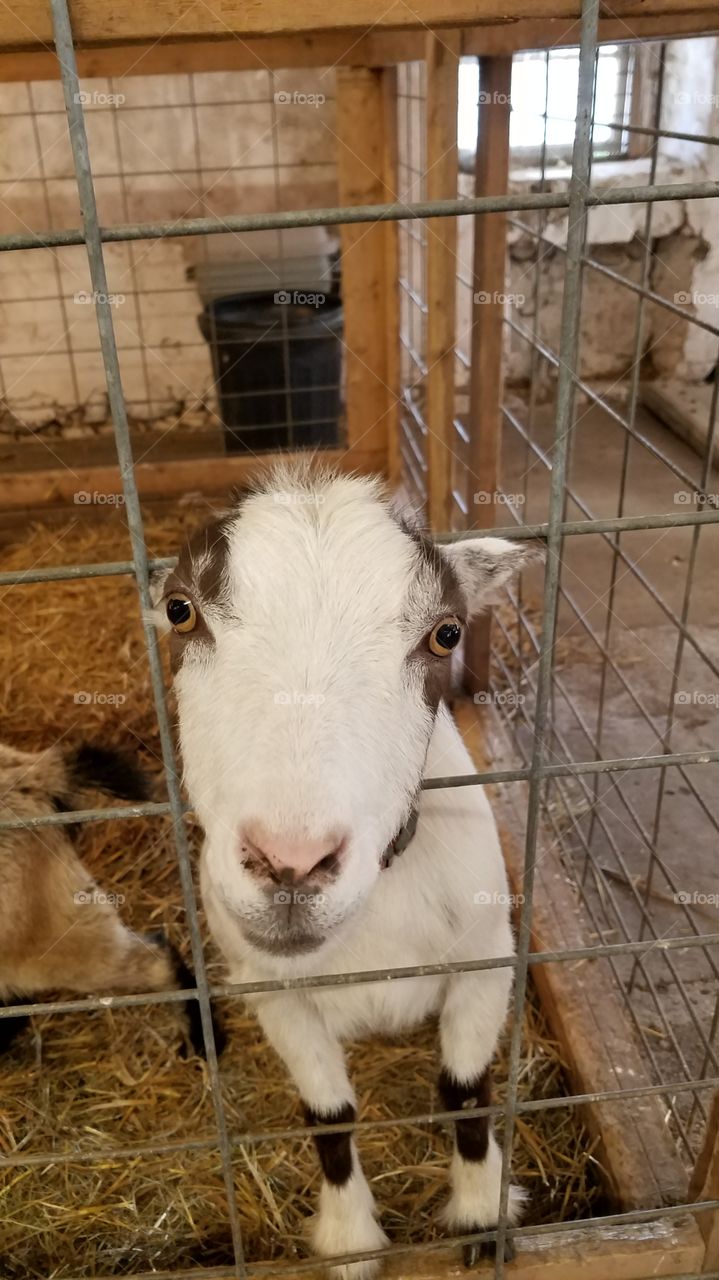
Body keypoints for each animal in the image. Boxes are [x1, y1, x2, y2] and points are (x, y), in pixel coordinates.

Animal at [151, 465, 540, 1278]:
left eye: (445, 633)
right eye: (180, 611)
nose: (290, 864)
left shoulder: (486, 956)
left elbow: (464, 1090)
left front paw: (481, 1214)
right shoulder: (273, 993)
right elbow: (329, 1116)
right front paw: (350, 1239)